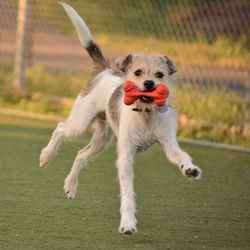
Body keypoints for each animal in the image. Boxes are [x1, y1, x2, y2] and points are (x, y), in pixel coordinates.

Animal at [40, 2, 202, 235]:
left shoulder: (168, 143)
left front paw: (190, 169)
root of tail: (105, 70)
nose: (150, 84)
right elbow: (127, 192)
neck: (145, 112)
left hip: (102, 139)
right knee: (61, 128)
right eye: (138, 72)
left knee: (80, 154)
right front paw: (127, 223)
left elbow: (180, 156)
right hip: (80, 124)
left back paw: (70, 185)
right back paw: (46, 157)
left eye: (160, 75)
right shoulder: (125, 156)